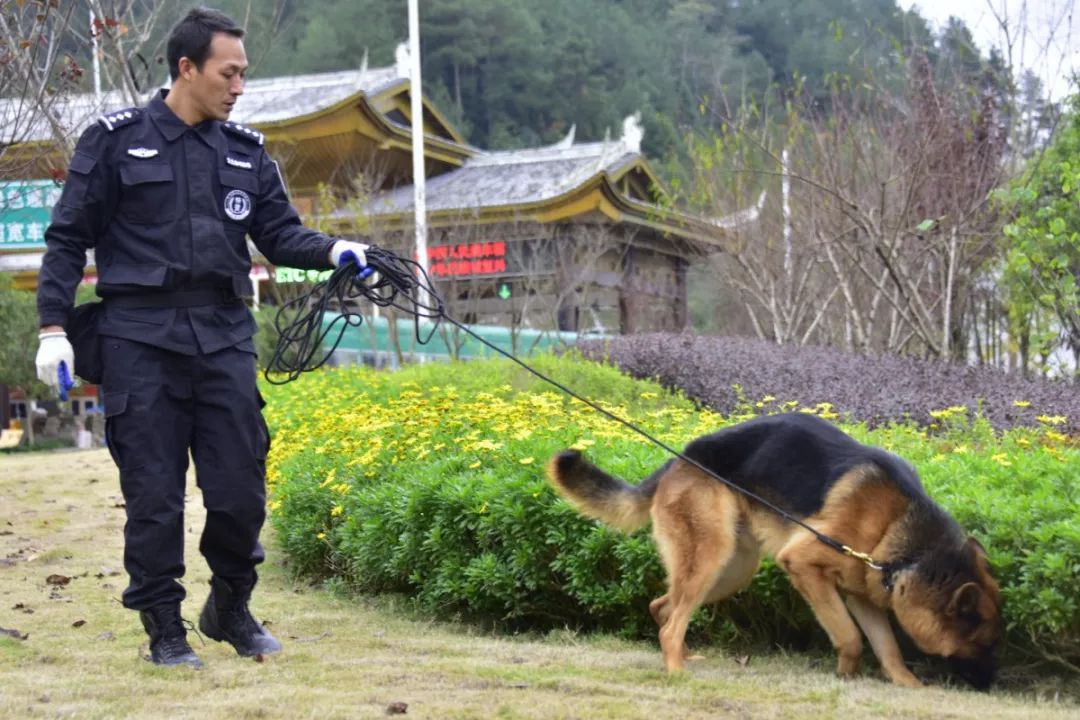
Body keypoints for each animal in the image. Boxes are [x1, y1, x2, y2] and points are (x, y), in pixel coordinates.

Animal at [548, 410, 1002, 686]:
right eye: (983, 645)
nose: (993, 684)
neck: (910, 546)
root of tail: (683, 458)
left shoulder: (862, 592)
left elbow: (887, 646)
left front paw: (903, 682)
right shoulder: (804, 566)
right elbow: (850, 637)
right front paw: (846, 676)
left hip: (732, 570)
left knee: (663, 609)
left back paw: (684, 658)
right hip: (711, 558)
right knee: (671, 622)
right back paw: (676, 671)